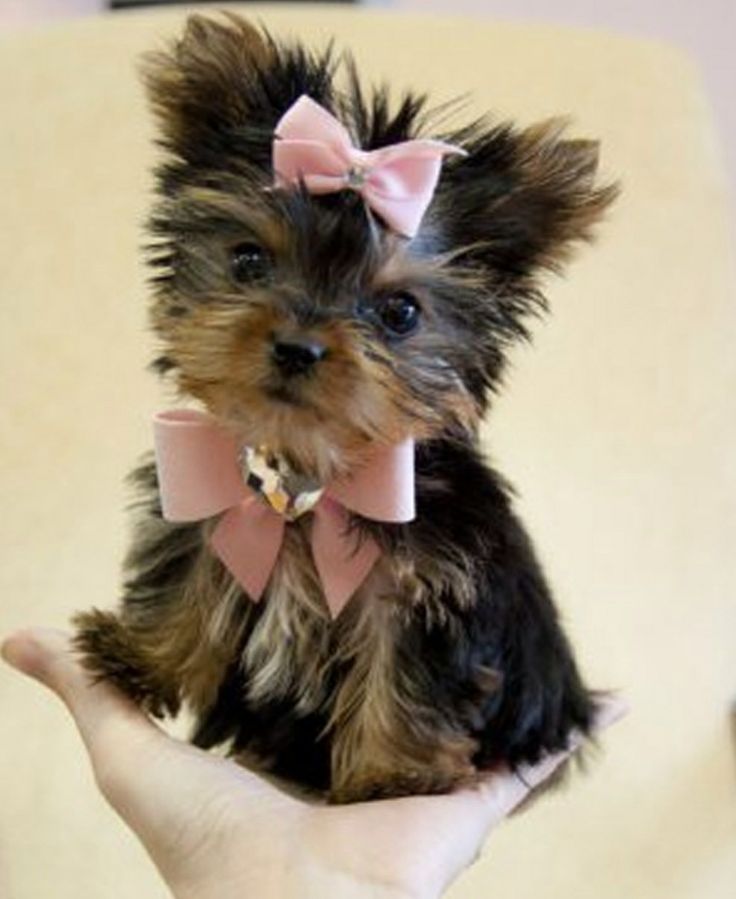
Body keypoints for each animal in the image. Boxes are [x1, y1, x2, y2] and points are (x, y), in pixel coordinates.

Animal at [73, 12, 616, 800]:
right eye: (248, 260)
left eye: (399, 312)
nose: (298, 347)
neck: (307, 477)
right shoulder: (217, 515)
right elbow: (191, 576)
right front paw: (142, 656)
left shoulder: (434, 585)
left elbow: (409, 668)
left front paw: (395, 773)